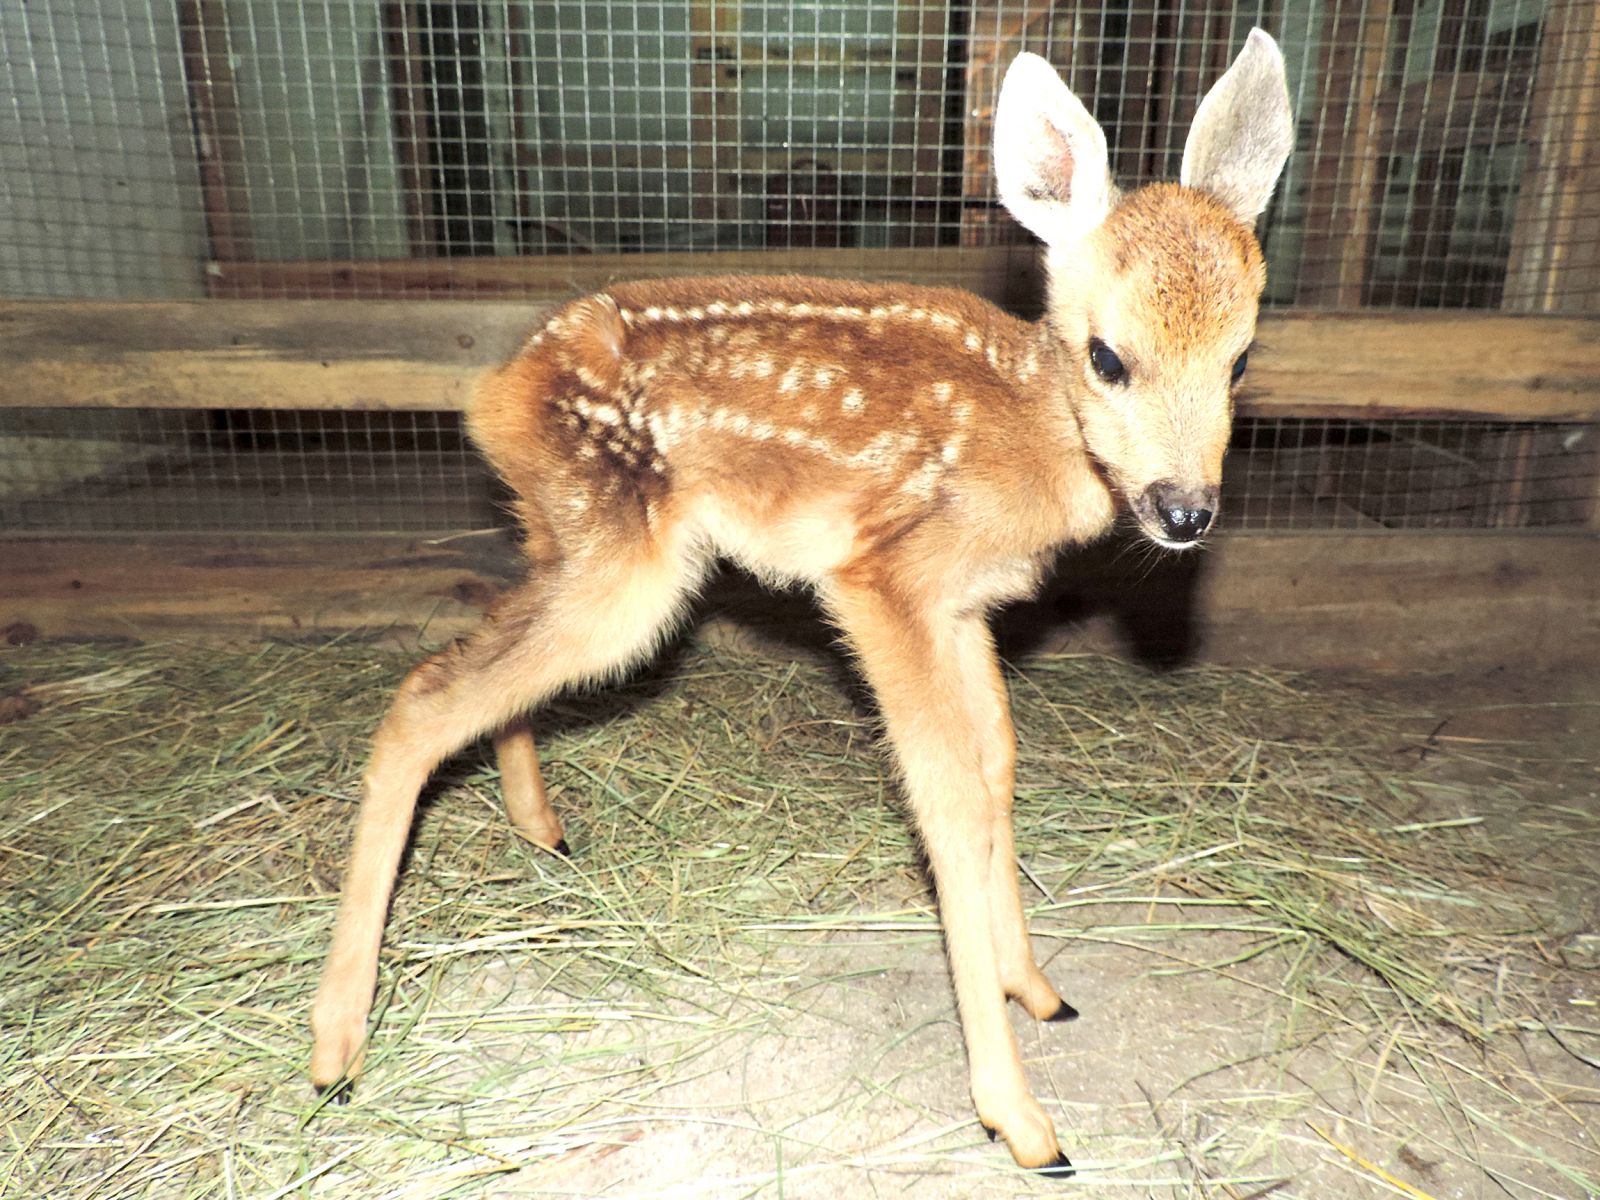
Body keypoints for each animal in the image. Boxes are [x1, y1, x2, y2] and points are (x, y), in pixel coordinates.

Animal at [308, 30, 1286, 1177]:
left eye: (1240, 360)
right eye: (1106, 355)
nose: (1184, 510)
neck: (1032, 434)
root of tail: (494, 392)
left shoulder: (964, 610)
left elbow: (998, 768)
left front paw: (1034, 988)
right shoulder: (883, 578)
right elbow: (947, 802)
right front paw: (1021, 1118)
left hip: (575, 539)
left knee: (484, 658)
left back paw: (541, 832)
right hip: (625, 575)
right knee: (424, 694)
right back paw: (334, 1049)